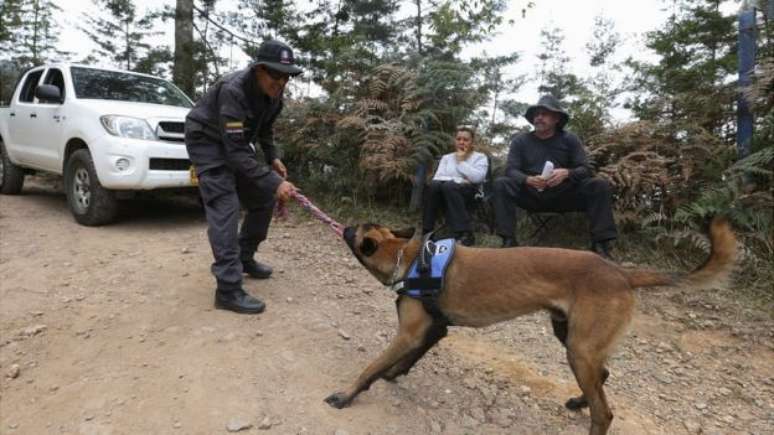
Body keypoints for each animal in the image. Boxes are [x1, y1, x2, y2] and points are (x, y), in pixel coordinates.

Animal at [324, 218, 736, 435]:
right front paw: (394, 374)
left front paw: (347, 395)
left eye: (356, 230)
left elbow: (370, 367)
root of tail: (621, 272)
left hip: (579, 349)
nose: (344, 225)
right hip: (571, 337)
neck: (408, 259)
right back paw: (579, 400)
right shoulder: (434, 329)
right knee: (602, 377)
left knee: (604, 411)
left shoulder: (409, 333)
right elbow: (405, 361)